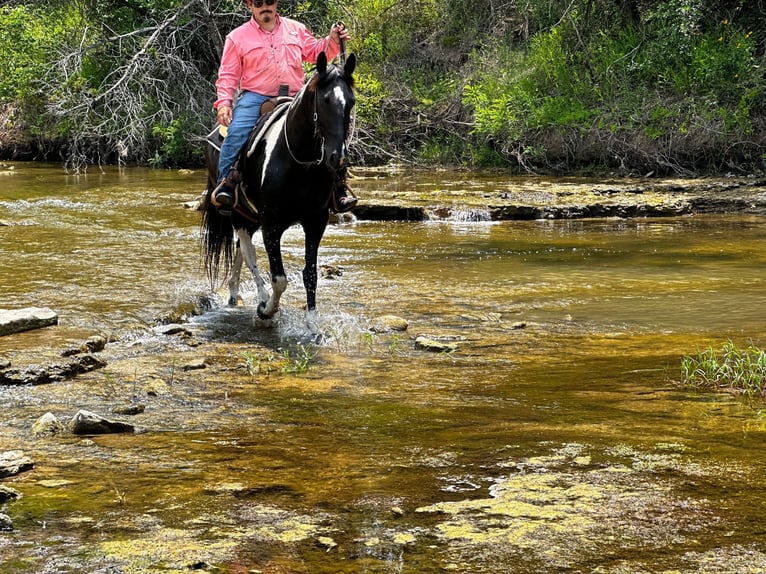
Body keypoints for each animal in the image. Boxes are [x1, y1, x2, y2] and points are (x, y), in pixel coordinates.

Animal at [201, 54, 356, 336]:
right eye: (325, 100)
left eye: (350, 101)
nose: (337, 158)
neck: (300, 162)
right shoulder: (271, 223)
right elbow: (279, 278)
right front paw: (267, 311)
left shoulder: (316, 221)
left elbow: (310, 274)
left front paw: (313, 324)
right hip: (237, 211)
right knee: (248, 251)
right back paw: (260, 299)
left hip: (249, 215)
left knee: (242, 249)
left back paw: (234, 293)